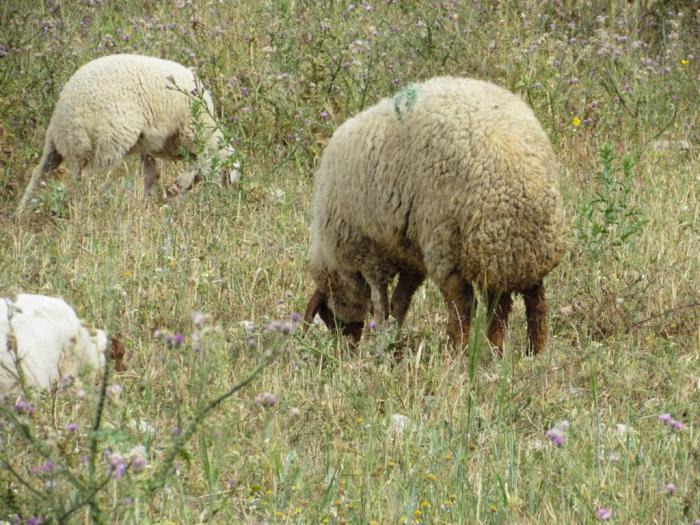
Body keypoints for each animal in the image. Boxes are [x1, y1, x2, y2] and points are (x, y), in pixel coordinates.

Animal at [15, 53, 241, 213]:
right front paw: (176, 187)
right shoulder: (189, 133)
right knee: (87, 180)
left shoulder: (149, 144)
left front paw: (148, 203)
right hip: (105, 141)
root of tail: (63, 111)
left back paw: (21, 212)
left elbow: (151, 174)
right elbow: (193, 168)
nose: (225, 203)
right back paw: (88, 207)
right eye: (228, 179)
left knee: (40, 172)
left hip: (58, 145)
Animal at [304, 75, 568, 354]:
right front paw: (392, 339)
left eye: (328, 315)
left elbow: (381, 303)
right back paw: (527, 350)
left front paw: (382, 342)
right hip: (517, 252)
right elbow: (400, 302)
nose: (347, 348)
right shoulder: (410, 259)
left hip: (449, 244)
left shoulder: (370, 255)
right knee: (530, 301)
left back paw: (457, 349)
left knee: (463, 305)